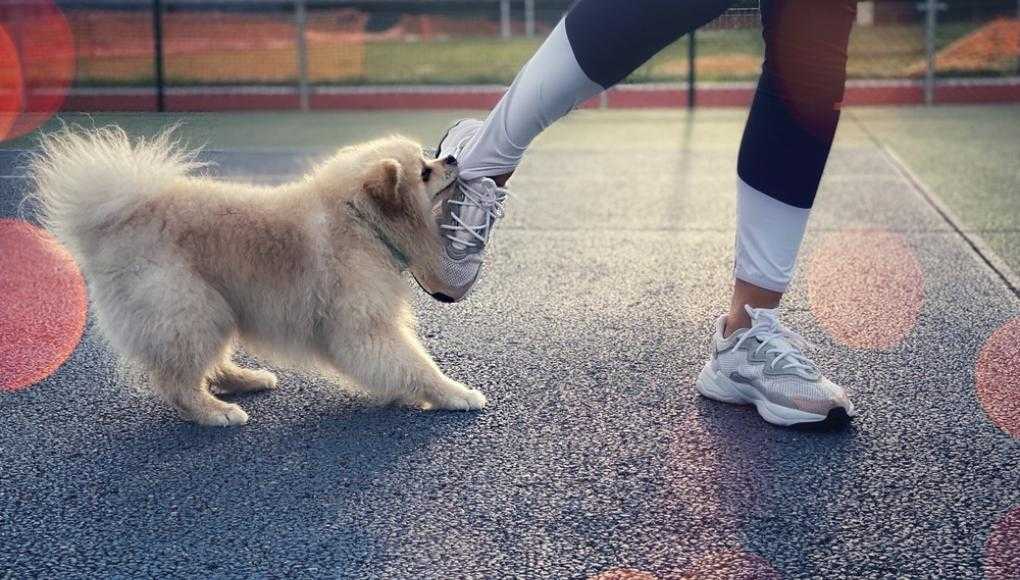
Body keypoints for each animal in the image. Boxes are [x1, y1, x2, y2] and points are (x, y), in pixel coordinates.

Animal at [24, 126, 485, 426]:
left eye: (430, 157)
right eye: (424, 171)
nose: (451, 158)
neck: (359, 220)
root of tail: (117, 219)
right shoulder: (364, 328)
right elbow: (414, 365)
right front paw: (454, 394)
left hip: (211, 309)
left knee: (206, 364)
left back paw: (246, 379)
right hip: (190, 308)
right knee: (177, 382)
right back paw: (215, 412)